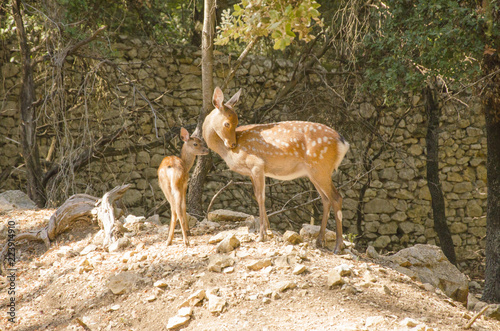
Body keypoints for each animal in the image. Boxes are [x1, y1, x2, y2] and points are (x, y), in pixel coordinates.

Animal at [201, 87, 350, 253]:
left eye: (236, 122)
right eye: (227, 123)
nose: (233, 144)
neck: (227, 153)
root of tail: (344, 143)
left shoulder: (256, 164)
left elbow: (261, 197)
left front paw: (262, 235)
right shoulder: (253, 172)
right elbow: (258, 196)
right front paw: (268, 229)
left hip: (320, 167)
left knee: (336, 197)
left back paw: (338, 246)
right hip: (314, 172)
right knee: (325, 199)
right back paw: (319, 241)